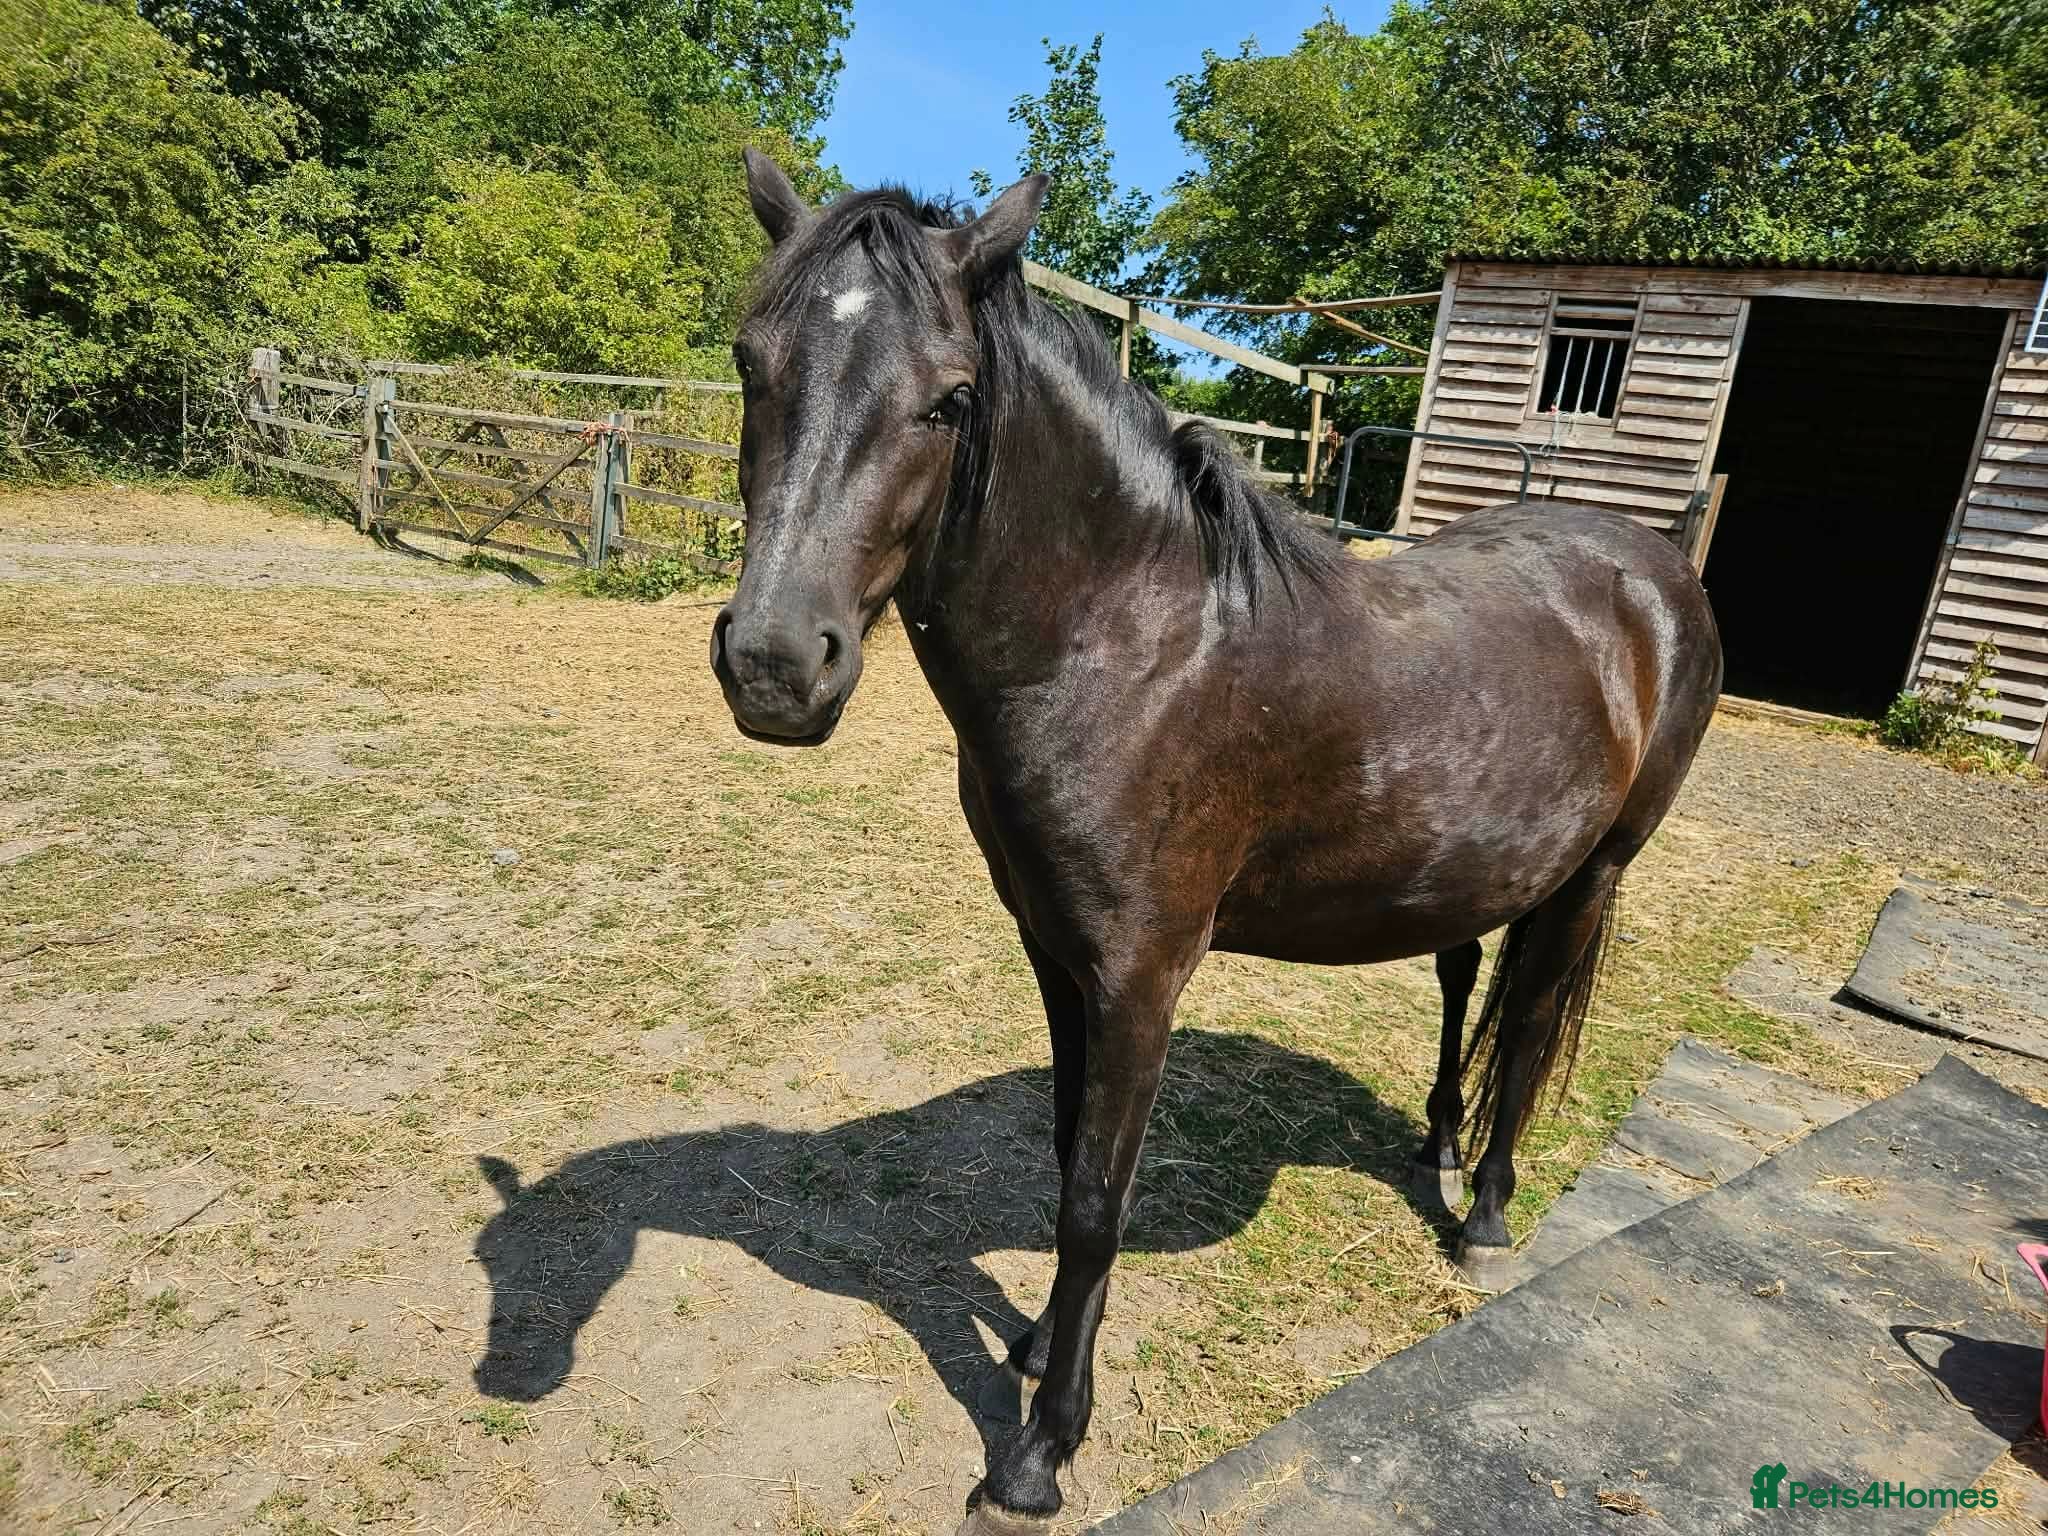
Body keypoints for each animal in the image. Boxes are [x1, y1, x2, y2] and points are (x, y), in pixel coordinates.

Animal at [709, 149, 1723, 1535]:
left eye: (949, 400)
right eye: (750, 361)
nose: (772, 665)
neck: (1131, 644)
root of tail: (1651, 568)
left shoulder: (1142, 974)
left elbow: (1095, 1201)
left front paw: (1038, 1450)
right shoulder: (1057, 955)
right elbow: (1067, 1154)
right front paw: (1037, 1348)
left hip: (1593, 874)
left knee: (1525, 1036)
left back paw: (1484, 1219)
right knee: (1465, 983)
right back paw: (1434, 1147)